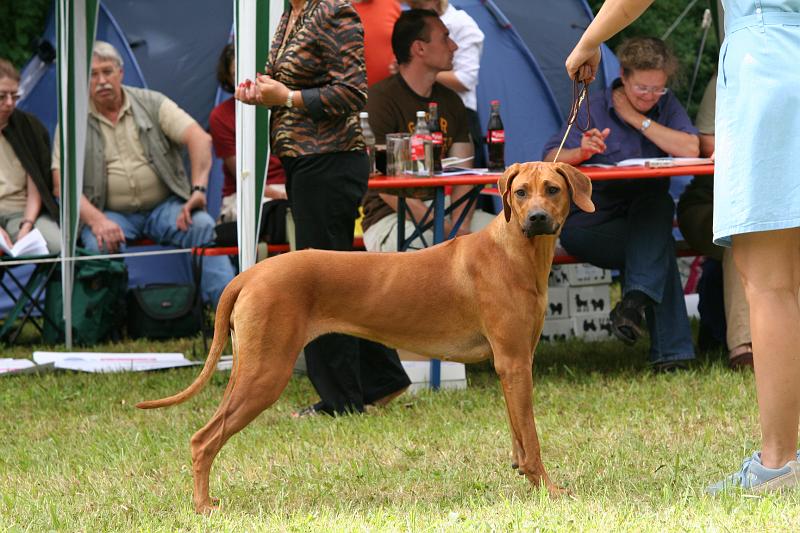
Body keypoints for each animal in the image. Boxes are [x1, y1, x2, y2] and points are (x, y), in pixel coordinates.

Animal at [138, 161, 592, 512]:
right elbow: (532, 439)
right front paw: (550, 490)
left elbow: (519, 434)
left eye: (552, 190)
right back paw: (202, 506)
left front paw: (527, 480)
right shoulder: (514, 363)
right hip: (265, 374)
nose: (536, 218)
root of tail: (249, 274)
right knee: (202, 440)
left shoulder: (514, 363)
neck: (514, 250)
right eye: (520, 193)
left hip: (249, 369)